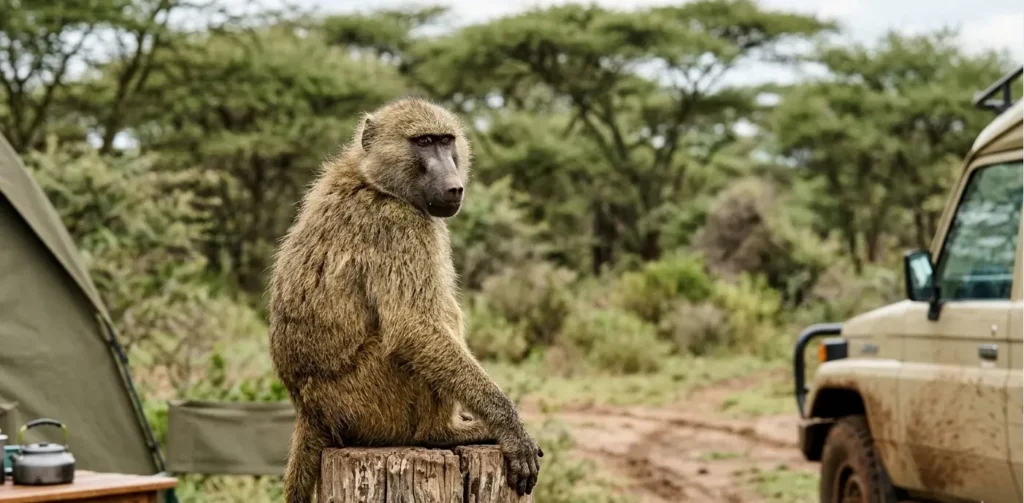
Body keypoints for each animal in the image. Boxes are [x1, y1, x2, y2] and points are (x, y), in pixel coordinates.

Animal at [266, 97, 543, 503]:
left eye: (446, 141)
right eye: (423, 142)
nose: (454, 187)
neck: (375, 180)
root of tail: (309, 411)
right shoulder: (398, 226)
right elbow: (414, 326)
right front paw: (511, 429)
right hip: (366, 401)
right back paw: (442, 433)